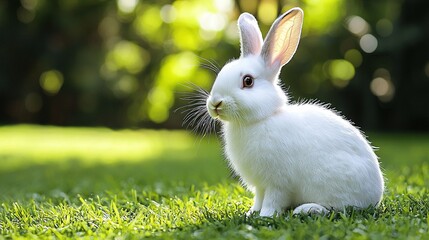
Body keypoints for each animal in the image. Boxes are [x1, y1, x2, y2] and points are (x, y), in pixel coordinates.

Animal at [206, 7, 382, 218]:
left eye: (248, 81)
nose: (215, 104)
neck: (261, 119)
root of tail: (377, 196)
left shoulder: (278, 183)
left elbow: (273, 200)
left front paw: (265, 216)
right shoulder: (260, 185)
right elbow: (259, 199)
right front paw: (251, 213)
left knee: (339, 209)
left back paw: (307, 209)